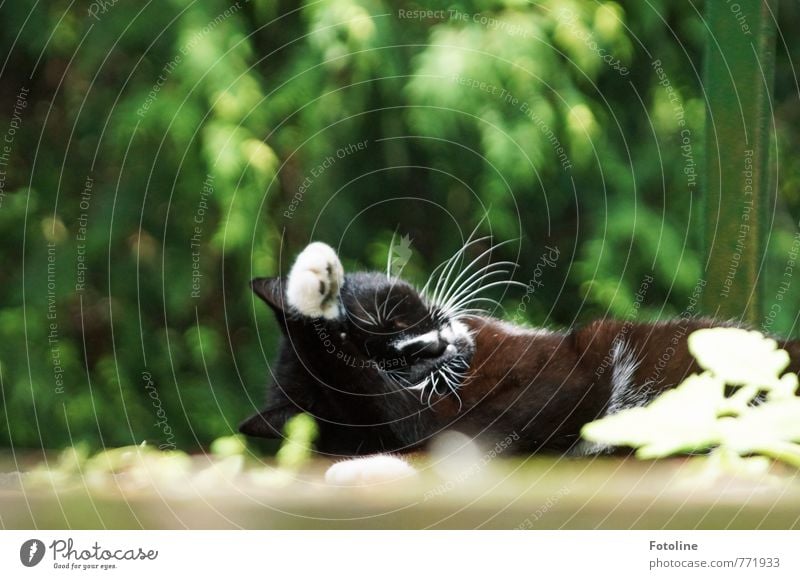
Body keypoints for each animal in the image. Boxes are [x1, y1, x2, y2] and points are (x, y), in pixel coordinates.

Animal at [241, 240, 800, 484]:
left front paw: (313, 285)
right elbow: (367, 393)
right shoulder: (459, 420)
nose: (429, 347)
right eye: (398, 369)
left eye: (391, 313)